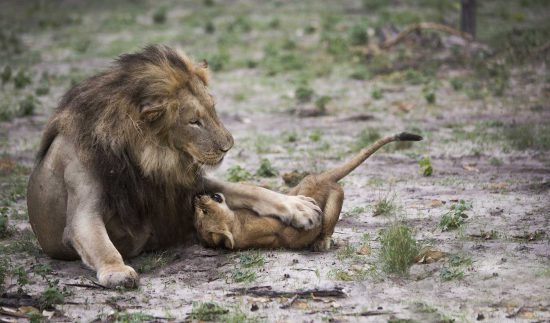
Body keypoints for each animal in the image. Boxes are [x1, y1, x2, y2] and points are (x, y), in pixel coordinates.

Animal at [28, 45, 322, 288]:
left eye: (213, 109)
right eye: (193, 122)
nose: (228, 145)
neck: (149, 157)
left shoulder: (184, 184)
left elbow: (249, 189)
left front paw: (298, 207)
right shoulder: (82, 210)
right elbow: (100, 244)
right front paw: (117, 271)